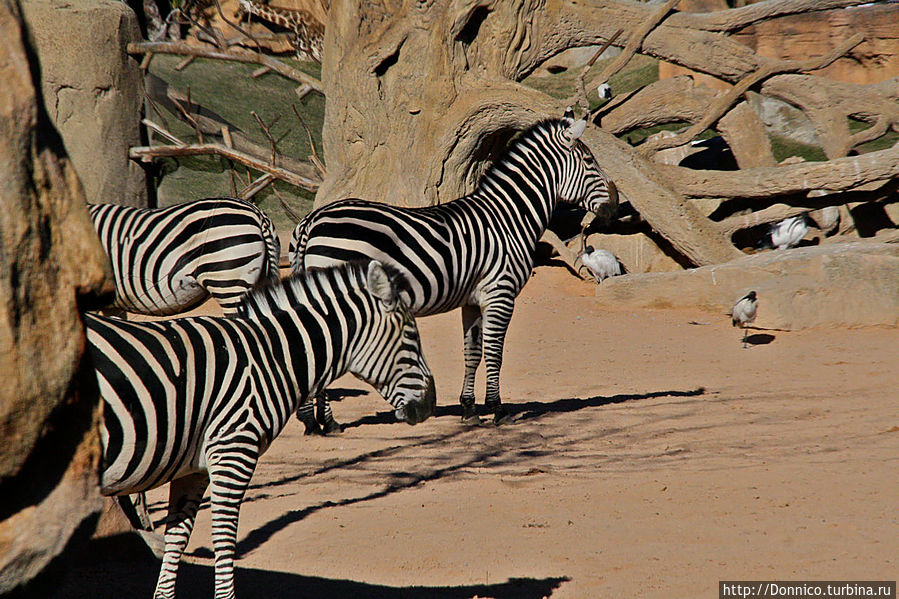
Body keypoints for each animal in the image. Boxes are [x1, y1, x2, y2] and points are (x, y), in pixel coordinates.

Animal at [88, 262, 436, 599]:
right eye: (410, 337)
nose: (430, 404)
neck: (271, 359)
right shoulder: (234, 449)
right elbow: (224, 537)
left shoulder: (192, 467)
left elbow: (178, 537)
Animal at [292, 116, 616, 426]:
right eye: (590, 161)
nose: (614, 206)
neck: (509, 218)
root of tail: (313, 218)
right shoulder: (500, 293)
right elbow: (495, 353)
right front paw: (498, 410)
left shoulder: (472, 300)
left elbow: (473, 354)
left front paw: (469, 409)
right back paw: (328, 422)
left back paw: (314, 420)